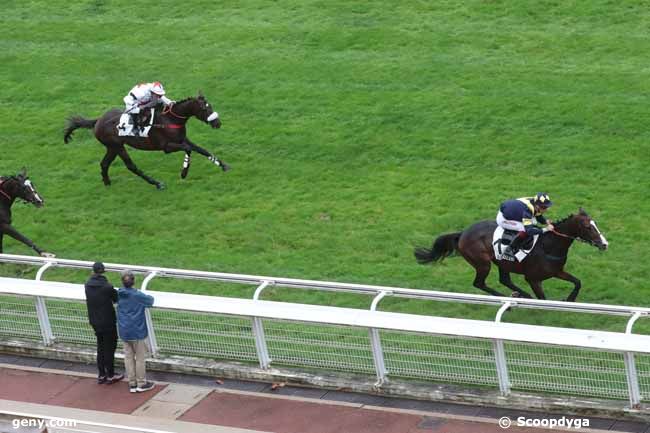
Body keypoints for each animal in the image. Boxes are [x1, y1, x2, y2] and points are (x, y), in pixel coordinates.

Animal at [63, 93, 229, 188]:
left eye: (210, 106)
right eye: (205, 109)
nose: (218, 123)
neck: (171, 119)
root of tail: (98, 120)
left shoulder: (183, 139)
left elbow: (201, 149)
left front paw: (223, 165)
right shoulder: (167, 147)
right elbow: (189, 150)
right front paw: (184, 172)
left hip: (112, 147)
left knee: (104, 164)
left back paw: (107, 183)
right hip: (117, 146)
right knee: (131, 166)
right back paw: (157, 183)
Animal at [416, 209, 608, 300]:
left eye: (595, 223)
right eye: (588, 227)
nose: (604, 244)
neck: (549, 246)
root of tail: (462, 233)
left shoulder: (557, 271)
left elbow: (577, 282)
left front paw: (570, 299)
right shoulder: (533, 279)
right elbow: (542, 298)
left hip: (502, 262)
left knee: (504, 280)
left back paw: (521, 295)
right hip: (483, 263)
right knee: (479, 283)